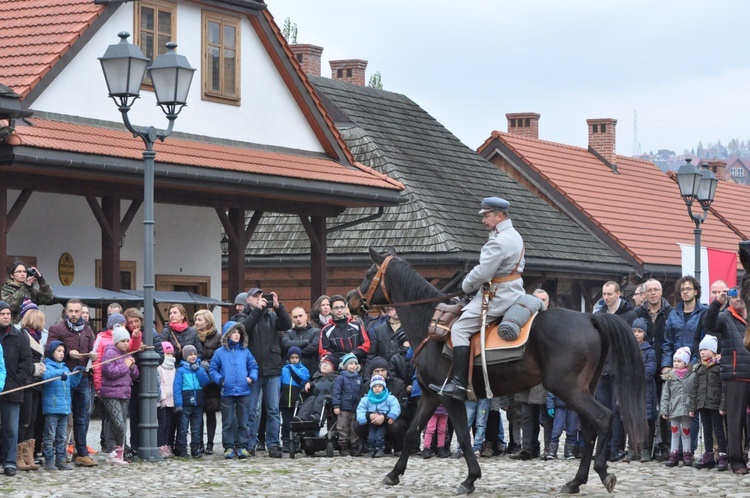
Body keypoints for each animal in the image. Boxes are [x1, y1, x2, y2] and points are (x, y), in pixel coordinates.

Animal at [356, 248, 648, 494]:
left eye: (369, 274)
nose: (351, 300)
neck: (431, 325)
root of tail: (590, 317)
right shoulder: (430, 396)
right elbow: (410, 433)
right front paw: (394, 474)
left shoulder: (449, 398)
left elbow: (464, 437)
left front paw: (470, 479)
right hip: (584, 389)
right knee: (589, 430)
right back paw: (576, 482)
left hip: (569, 390)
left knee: (603, 419)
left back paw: (601, 472)